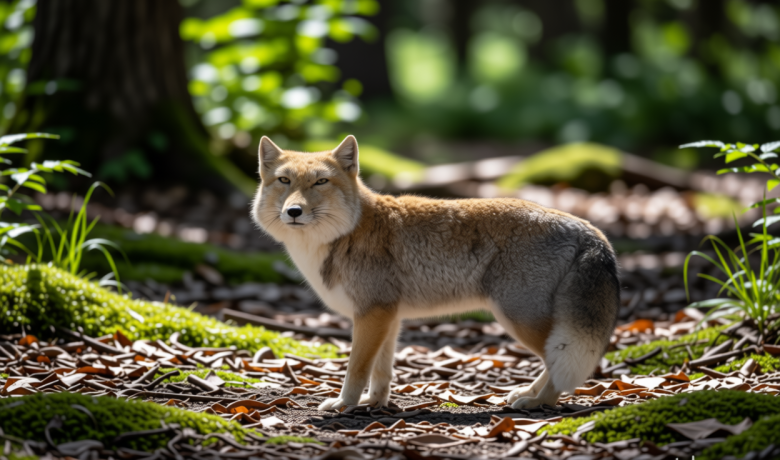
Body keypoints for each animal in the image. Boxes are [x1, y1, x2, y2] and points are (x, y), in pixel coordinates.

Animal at [251, 135, 620, 411]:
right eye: (284, 181)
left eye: (320, 182)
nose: (294, 211)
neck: (347, 233)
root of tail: (589, 229)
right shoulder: (387, 317)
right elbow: (381, 372)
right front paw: (374, 403)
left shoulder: (372, 314)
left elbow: (356, 368)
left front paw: (345, 404)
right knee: (555, 363)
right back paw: (529, 395)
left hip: (520, 321)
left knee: (557, 365)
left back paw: (538, 402)